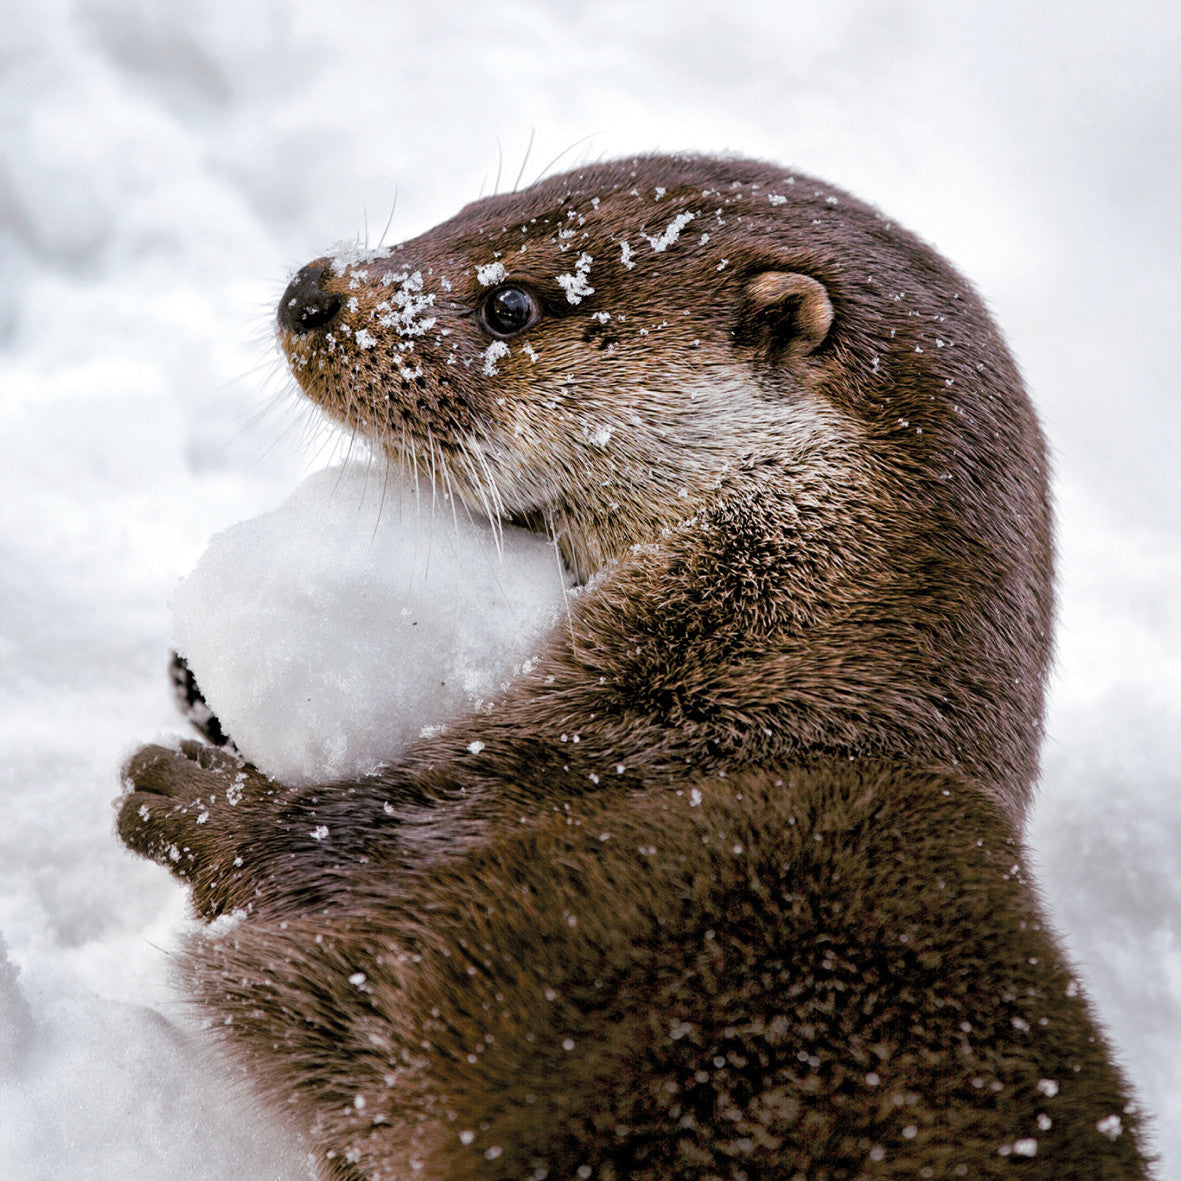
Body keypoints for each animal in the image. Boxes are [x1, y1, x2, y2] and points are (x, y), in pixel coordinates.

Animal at [119, 155, 1149, 1178]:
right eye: (469, 208)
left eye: (510, 305)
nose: (310, 291)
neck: (764, 711)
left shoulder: (530, 792)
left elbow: (338, 845)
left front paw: (190, 793)